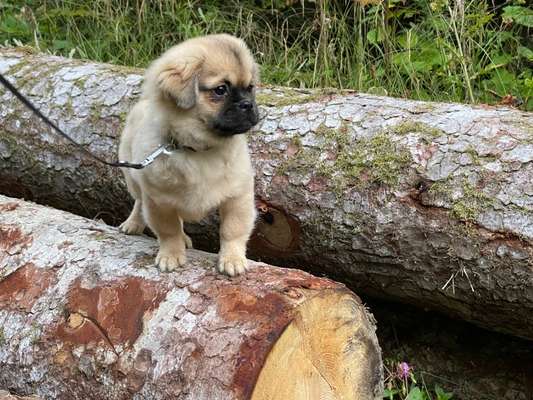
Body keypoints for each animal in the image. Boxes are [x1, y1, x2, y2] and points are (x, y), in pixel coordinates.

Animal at [117, 34, 258, 276]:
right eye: (220, 90)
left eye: (250, 88)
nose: (248, 104)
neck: (200, 150)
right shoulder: (159, 201)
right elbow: (169, 231)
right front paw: (171, 255)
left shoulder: (238, 196)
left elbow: (232, 230)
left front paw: (232, 259)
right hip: (133, 178)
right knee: (138, 202)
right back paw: (133, 223)